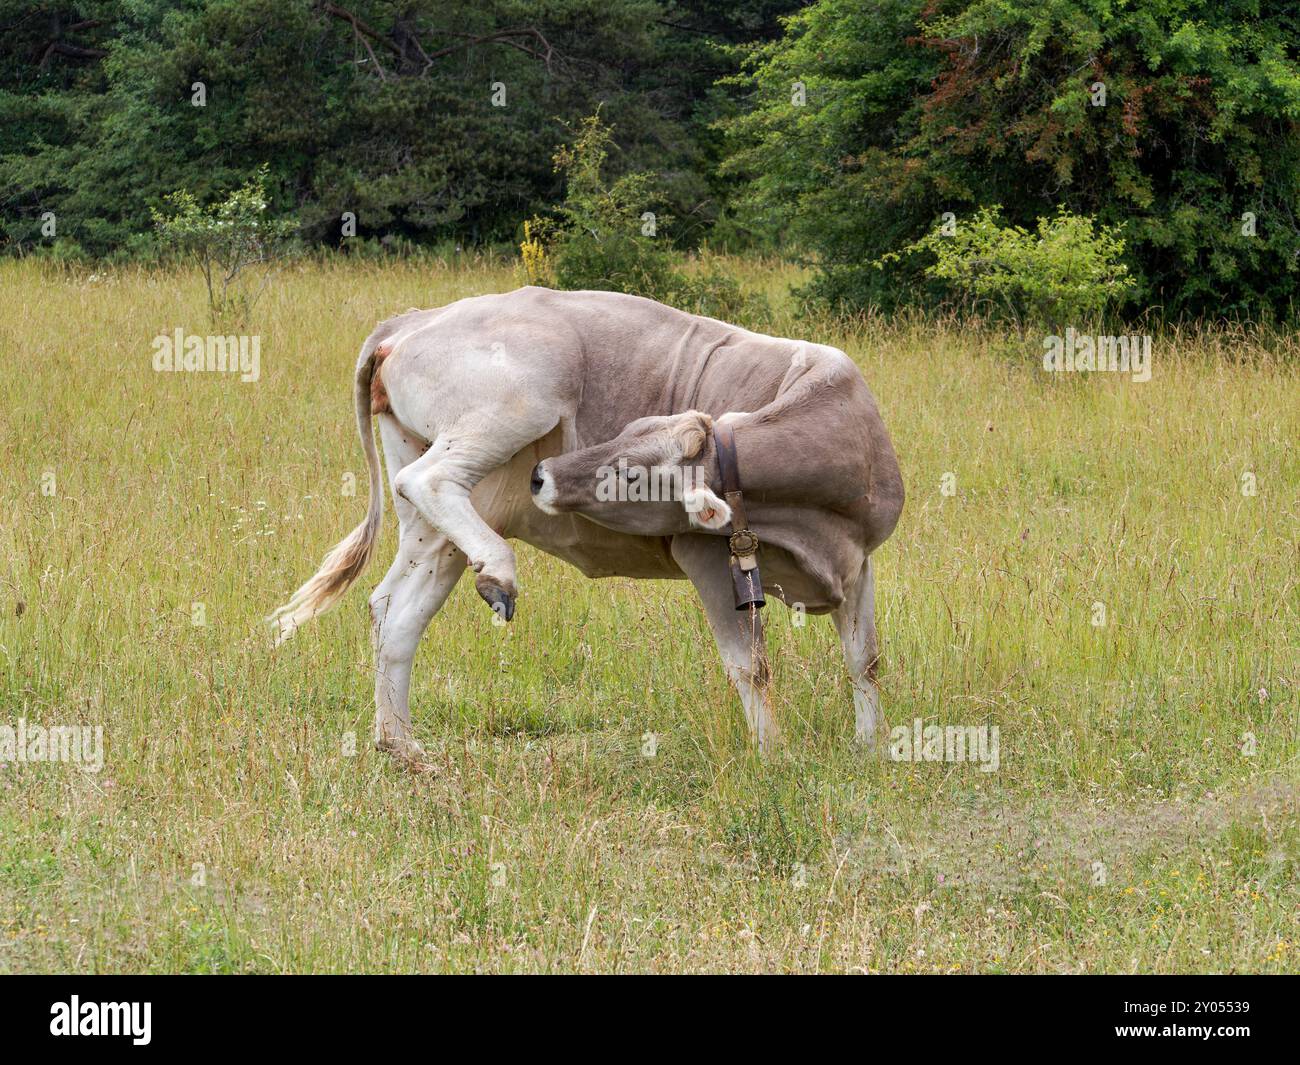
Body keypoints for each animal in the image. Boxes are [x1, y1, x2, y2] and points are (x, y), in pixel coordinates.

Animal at [271, 287, 904, 758]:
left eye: (630, 471)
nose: (542, 475)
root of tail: (417, 318)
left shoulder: (860, 562)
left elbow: (866, 661)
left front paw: (869, 749)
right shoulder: (703, 557)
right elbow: (752, 667)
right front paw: (774, 755)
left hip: (438, 532)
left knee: (394, 611)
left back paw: (401, 745)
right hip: (517, 403)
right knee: (425, 480)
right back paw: (499, 572)